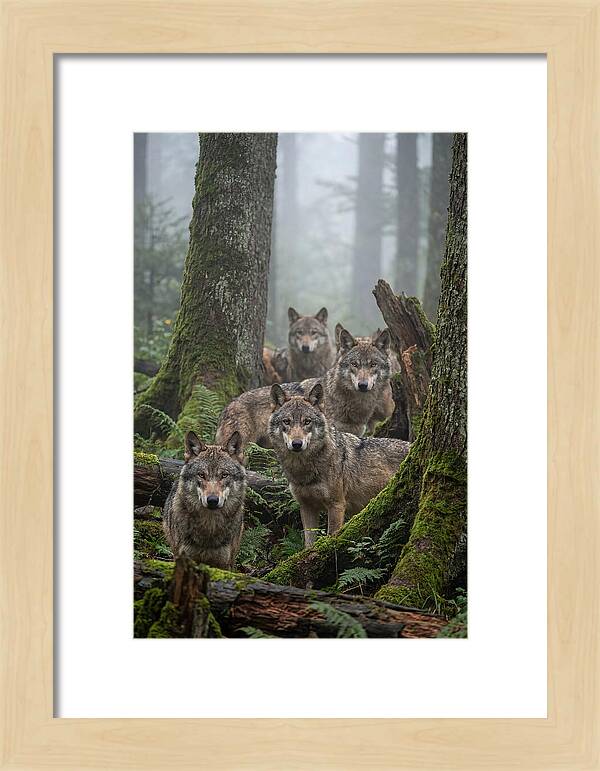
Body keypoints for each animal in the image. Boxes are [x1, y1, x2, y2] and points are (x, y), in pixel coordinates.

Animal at [268, 382, 410, 546]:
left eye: (307, 421)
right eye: (286, 421)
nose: (297, 444)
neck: (303, 470)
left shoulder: (336, 505)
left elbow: (332, 536)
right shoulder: (306, 507)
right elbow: (308, 543)